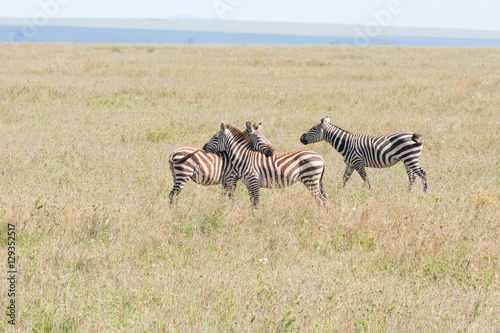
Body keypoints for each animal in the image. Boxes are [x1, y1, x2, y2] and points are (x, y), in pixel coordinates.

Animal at [298, 115, 428, 191]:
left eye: (314, 129)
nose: (301, 138)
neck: (346, 144)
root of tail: (413, 134)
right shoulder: (350, 164)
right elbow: (344, 180)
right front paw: (338, 193)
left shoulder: (358, 162)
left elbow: (365, 179)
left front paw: (369, 192)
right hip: (407, 160)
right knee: (412, 177)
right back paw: (408, 193)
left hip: (410, 158)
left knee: (423, 173)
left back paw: (424, 193)